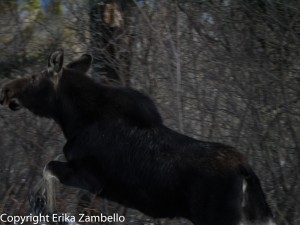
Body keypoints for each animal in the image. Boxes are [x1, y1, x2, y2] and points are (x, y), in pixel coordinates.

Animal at [0, 50, 276, 225]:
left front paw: (45, 207)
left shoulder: (91, 179)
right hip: (254, 216)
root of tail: (245, 171)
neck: (74, 120)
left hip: (217, 217)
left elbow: (47, 169)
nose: (6, 90)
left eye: (35, 77)